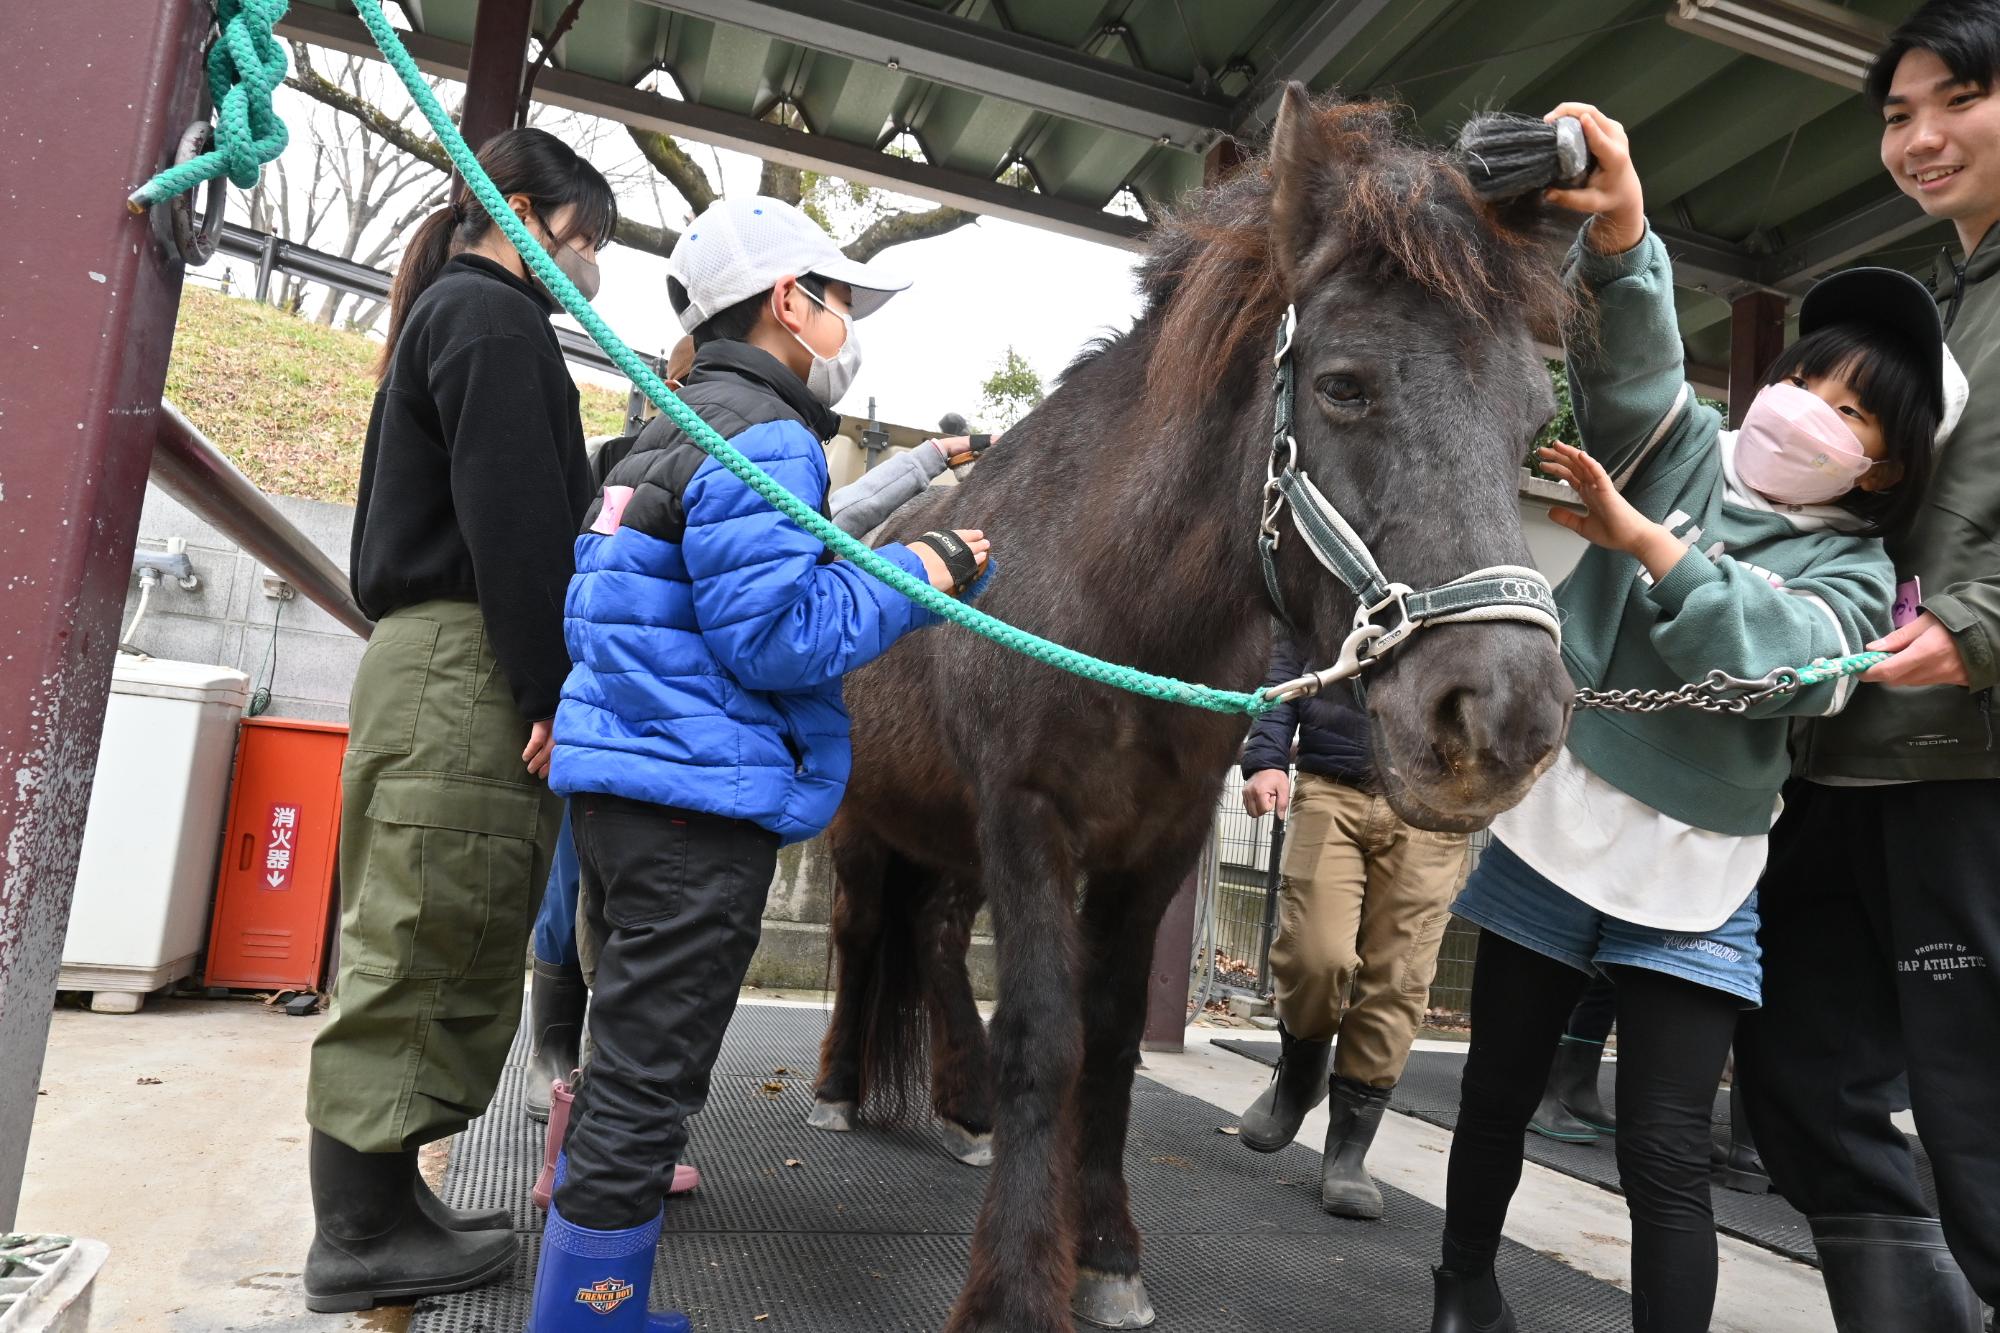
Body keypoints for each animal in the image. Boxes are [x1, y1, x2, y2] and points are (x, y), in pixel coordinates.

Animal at [804, 88, 1568, 1320]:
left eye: (1534, 419)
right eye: (1343, 384)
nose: (1503, 719)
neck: (1117, 607)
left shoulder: (1152, 844)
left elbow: (1110, 1041)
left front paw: (1106, 1252)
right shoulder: (1028, 814)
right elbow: (1044, 1039)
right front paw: (1016, 1289)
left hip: (949, 837)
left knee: (930, 941)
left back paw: (963, 1111)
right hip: (868, 826)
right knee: (865, 930)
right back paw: (834, 1088)